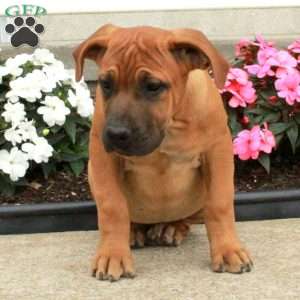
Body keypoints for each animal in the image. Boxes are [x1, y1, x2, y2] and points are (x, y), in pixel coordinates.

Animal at [73, 24, 253, 282]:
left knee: (189, 217)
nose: (116, 133)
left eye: (153, 86)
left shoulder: (218, 150)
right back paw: (133, 232)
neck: (171, 123)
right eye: (105, 84)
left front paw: (228, 250)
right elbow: (112, 206)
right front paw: (113, 254)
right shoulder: (102, 155)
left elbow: (219, 204)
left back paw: (171, 228)